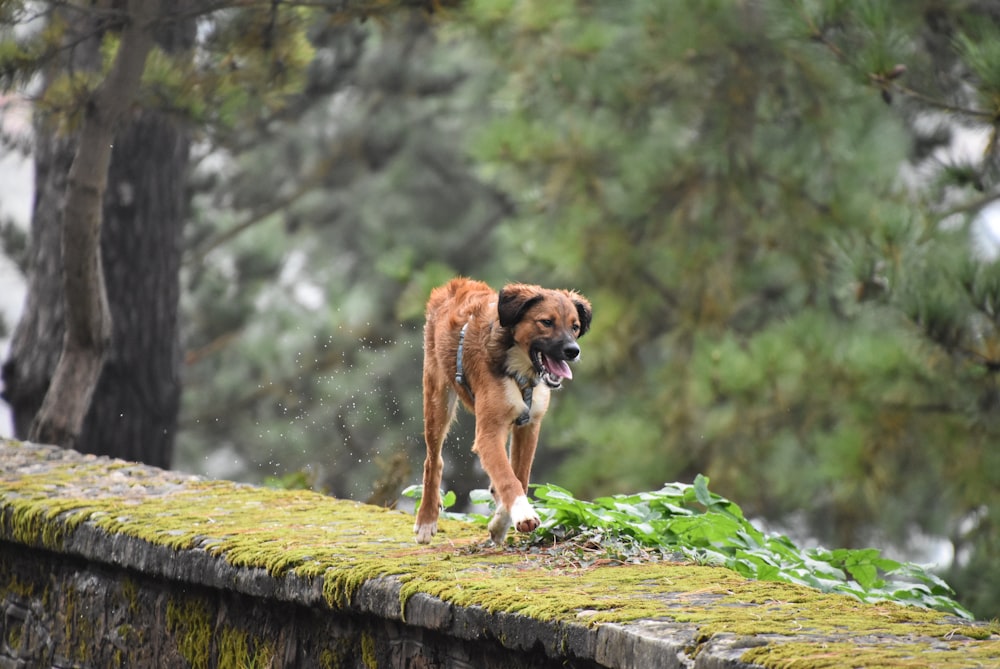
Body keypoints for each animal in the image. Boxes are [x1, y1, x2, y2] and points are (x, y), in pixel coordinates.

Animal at [416, 276, 592, 544]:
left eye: (574, 326)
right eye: (546, 322)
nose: (573, 351)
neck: (521, 369)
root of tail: (455, 284)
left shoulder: (529, 425)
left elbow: (519, 475)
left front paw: (501, 523)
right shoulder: (488, 433)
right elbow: (509, 479)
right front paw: (522, 514)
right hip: (437, 400)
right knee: (433, 462)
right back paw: (426, 520)